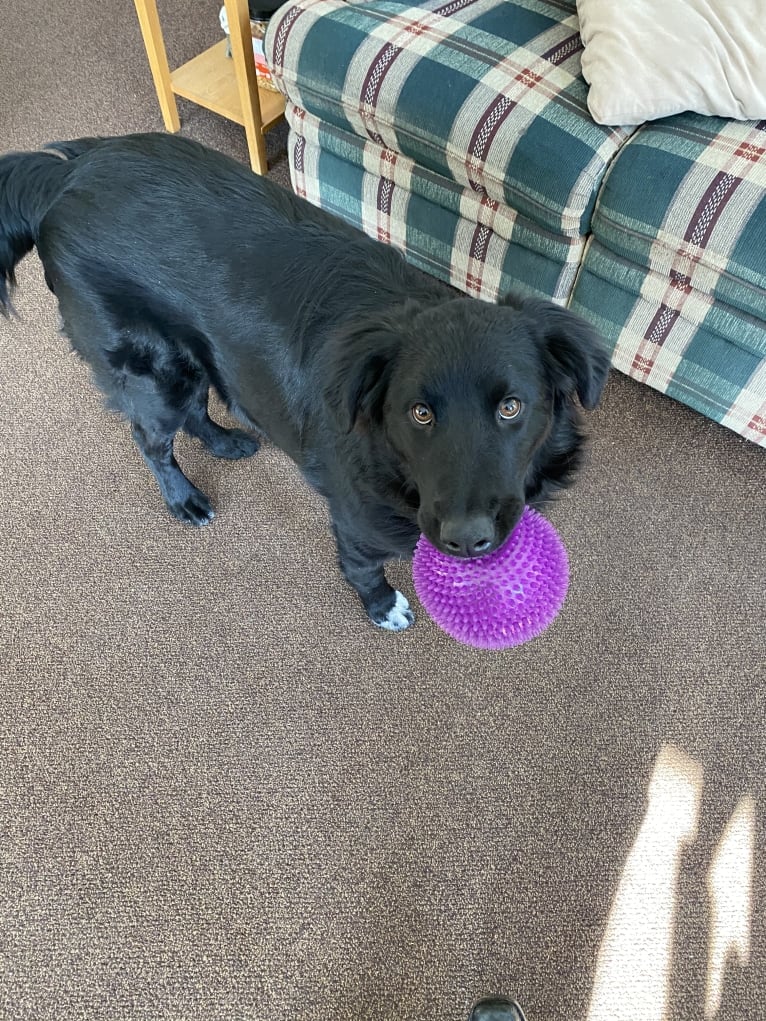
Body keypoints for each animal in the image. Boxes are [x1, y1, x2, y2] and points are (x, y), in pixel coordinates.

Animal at [0, 133, 612, 628]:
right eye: (419, 413)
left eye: (511, 407)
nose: (467, 539)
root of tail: (64, 175)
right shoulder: (355, 520)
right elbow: (362, 569)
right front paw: (382, 606)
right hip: (157, 372)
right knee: (151, 440)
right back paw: (184, 499)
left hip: (197, 359)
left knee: (199, 410)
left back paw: (226, 442)